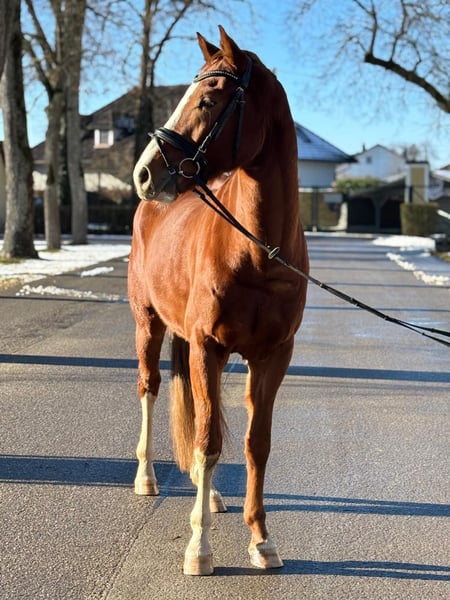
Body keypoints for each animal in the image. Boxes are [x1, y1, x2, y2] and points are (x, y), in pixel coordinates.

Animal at [129, 26, 309, 576]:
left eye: (208, 99)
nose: (144, 175)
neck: (259, 252)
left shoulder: (272, 357)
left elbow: (255, 444)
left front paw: (262, 541)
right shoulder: (208, 346)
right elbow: (209, 443)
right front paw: (199, 548)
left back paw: (206, 497)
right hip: (149, 325)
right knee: (150, 389)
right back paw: (147, 478)